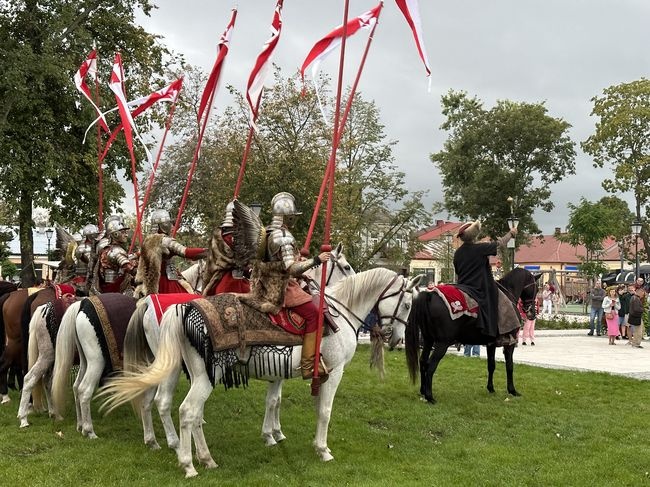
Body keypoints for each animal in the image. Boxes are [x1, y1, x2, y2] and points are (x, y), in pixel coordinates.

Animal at [98, 268, 418, 478]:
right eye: (407, 303)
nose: (396, 339)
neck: (340, 314)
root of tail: (184, 310)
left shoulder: (293, 374)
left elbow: (283, 403)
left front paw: (276, 436)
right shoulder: (334, 372)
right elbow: (325, 411)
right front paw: (323, 449)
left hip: (192, 373)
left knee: (177, 409)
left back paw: (200, 457)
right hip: (201, 375)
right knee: (186, 411)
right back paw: (188, 463)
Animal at [404, 266, 536, 404]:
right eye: (536, 287)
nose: (532, 312)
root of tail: (430, 294)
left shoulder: (491, 344)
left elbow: (491, 365)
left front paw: (491, 388)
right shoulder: (510, 343)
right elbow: (509, 366)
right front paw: (512, 390)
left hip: (428, 340)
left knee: (423, 362)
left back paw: (423, 391)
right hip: (442, 343)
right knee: (430, 366)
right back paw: (430, 397)